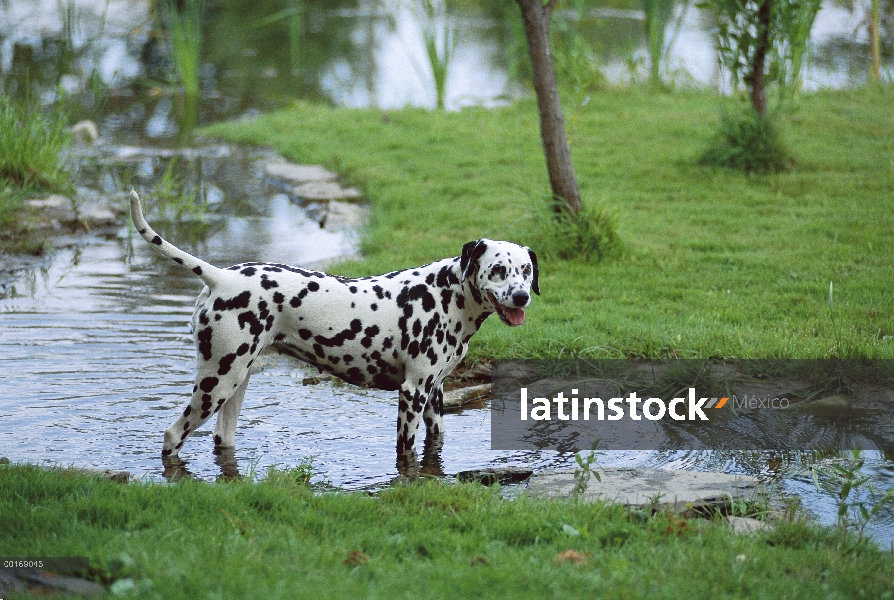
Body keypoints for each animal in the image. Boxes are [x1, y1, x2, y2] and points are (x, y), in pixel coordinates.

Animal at [128, 192, 540, 464]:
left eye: (525, 269)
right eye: (498, 270)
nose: (522, 297)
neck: (444, 294)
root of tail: (220, 277)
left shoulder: (434, 395)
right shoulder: (412, 394)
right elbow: (405, 450)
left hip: (234, 386)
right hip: (215, 386)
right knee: (172, 435)